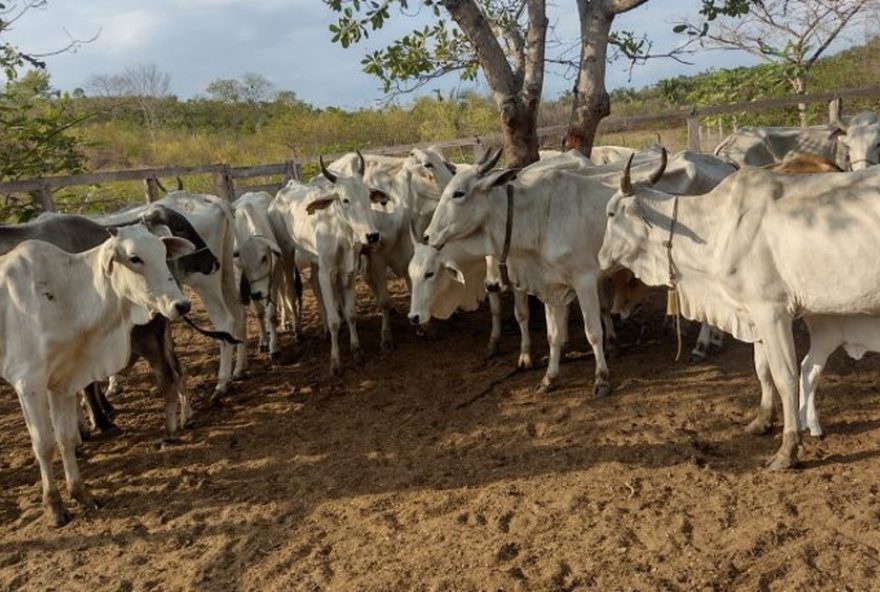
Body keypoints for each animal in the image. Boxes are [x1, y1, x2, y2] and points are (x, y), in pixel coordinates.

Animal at [0, 227, 193, 528]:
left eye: (164, 254)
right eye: (135, 258)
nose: (181, 305)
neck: (63, 295)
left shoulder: (63, 382)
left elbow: (65, 438)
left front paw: (81, 494)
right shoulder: (28, 383)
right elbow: (44, 445)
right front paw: (54, 507)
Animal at [234, 193, 286, 360]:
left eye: (264, 258)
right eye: (243, 262)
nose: (257, 293)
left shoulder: (274, 277)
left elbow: (271, 314)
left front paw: (274, 348)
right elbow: (260, 313)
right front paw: (263, 341)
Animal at [270, 154, 384, 374]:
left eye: (368, 197)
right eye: (345, 199)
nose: (372, 235)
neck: (340, 233)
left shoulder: (347, 272)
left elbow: (350, 314)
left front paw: (357, 350)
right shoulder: (327, 273)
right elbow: (334, 320)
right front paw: (335, 361)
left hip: (315, 262)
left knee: (314, 286)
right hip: (287, 253)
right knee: (289, 290)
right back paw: (297, 330)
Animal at [600, 154, 880, 472]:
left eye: (611, 213)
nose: (600, 257)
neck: (717, 227)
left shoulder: (773, 312)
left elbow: (785, 377)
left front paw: (788, 450)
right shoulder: (753, 314)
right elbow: (762, 370)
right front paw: (763, 420)